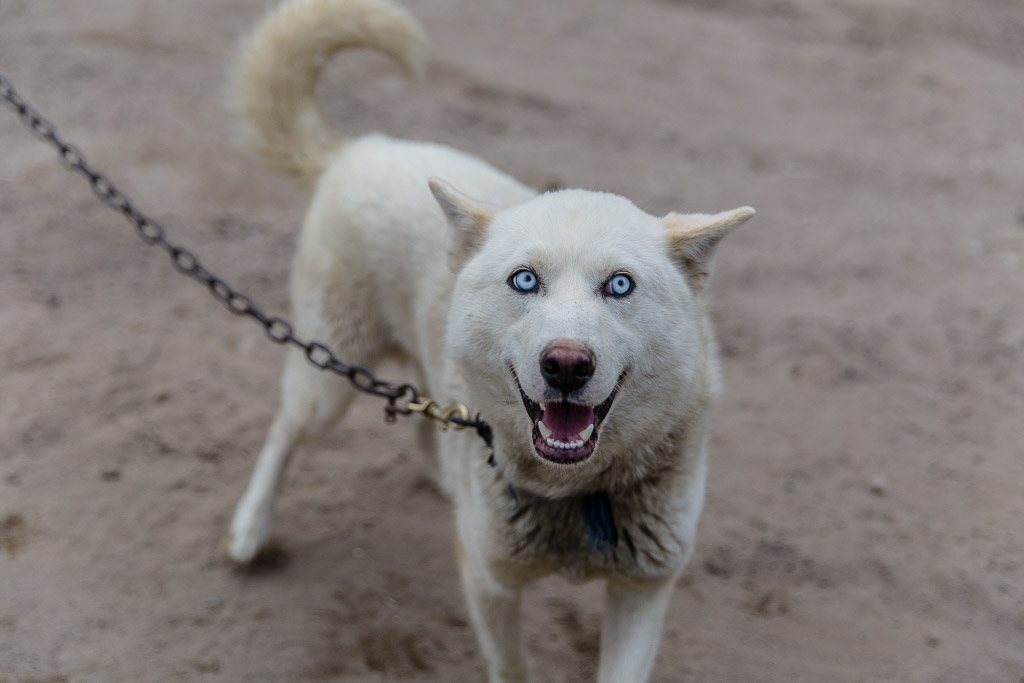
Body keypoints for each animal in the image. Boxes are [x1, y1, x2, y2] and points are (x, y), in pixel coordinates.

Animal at [226, 1, 753, 683]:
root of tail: (359, 150)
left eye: (620, 284)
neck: (577, 497)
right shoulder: (490, 582)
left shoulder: (643, 593)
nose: (565, 365)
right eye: (524, 280)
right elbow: (512, 667)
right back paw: (250, 526)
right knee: (284, 431)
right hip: (328, 376)